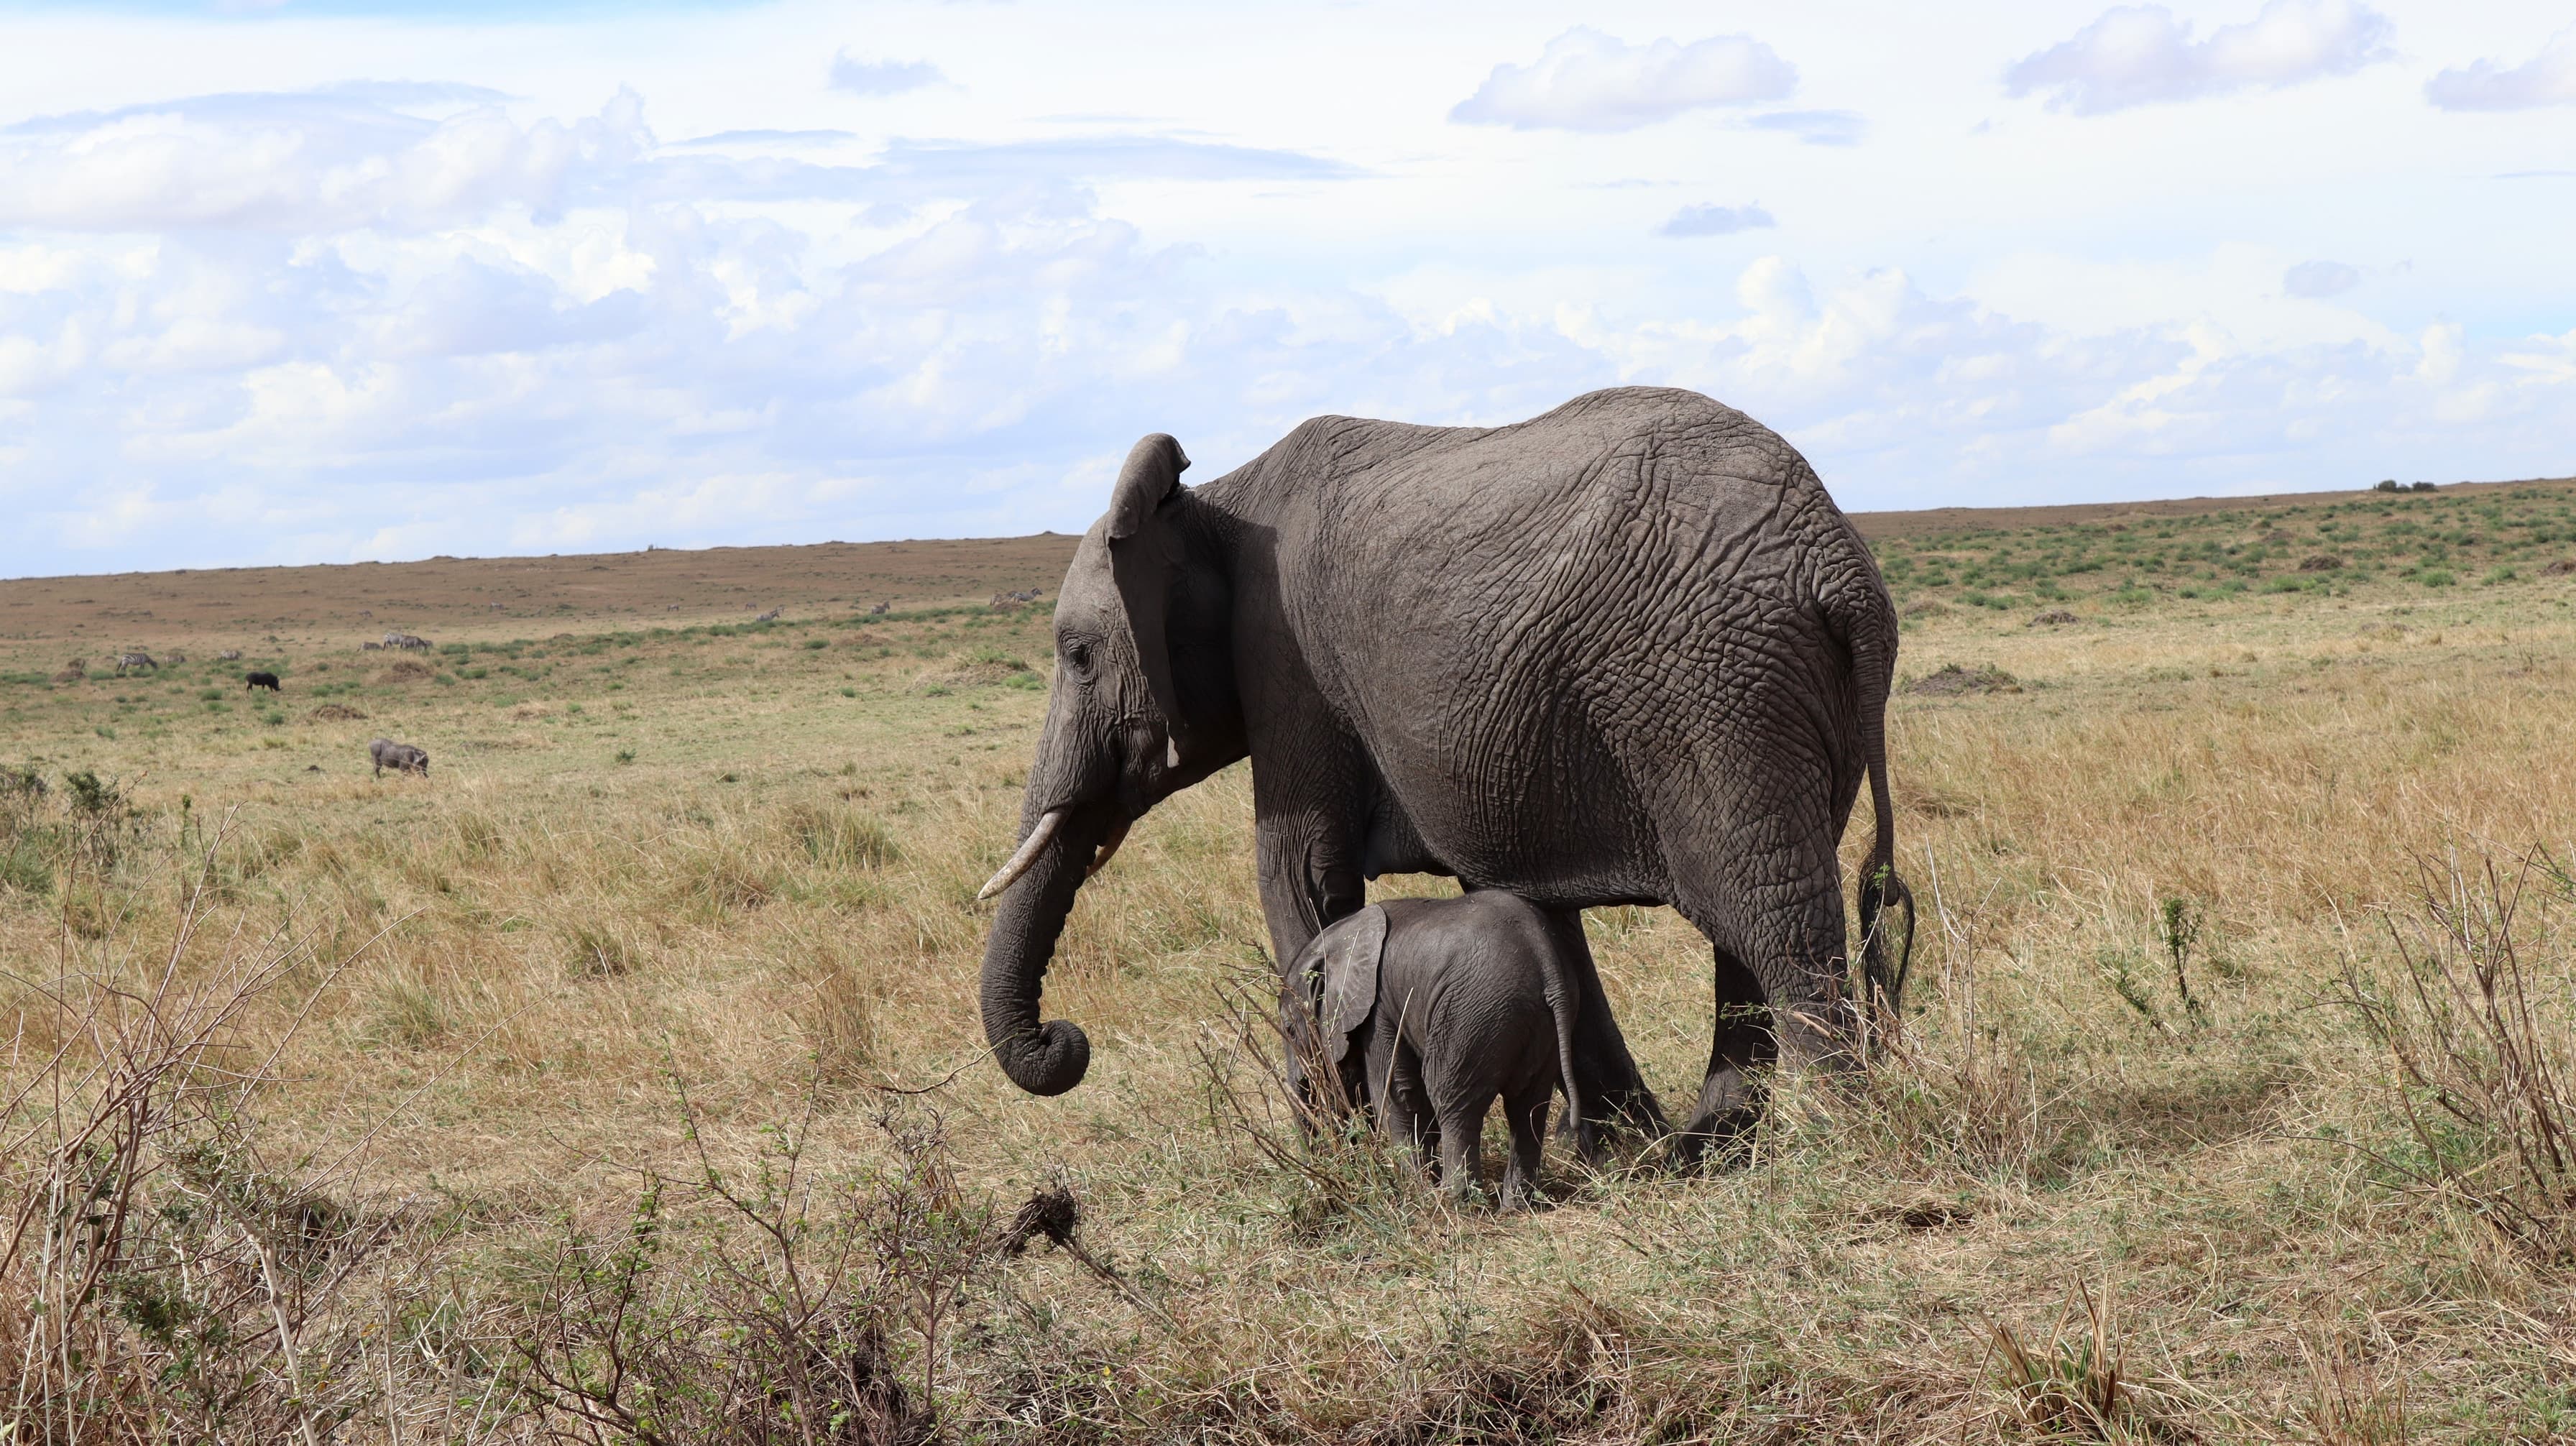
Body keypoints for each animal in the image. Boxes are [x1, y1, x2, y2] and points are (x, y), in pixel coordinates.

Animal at [974, 386, 1911, 1154]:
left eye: (1077, 655)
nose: (1064, 1039)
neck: (1214, 501)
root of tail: (1840, 567)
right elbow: (1519, 900)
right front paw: (1615, 1142)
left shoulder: (1287, 663)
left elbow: (1299, 875)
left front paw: (1342, 1161)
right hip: (1771, 699)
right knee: (1751, 923)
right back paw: (1709, 1147)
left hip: (1714, 690)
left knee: (1774, 923)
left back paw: (1832, 1141)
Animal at [1296, 892, 1592, 1209]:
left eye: (1289, 1028)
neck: (1342, 934)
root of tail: (1547, 965)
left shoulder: (1379, 1009)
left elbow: (1396, 1092)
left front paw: (1417, 1192)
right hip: (1538, 1025)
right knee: (1528, 1108)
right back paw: (1516, 1207)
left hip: (1472, 1017)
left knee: (1450, 1099)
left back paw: (1456, 1203)